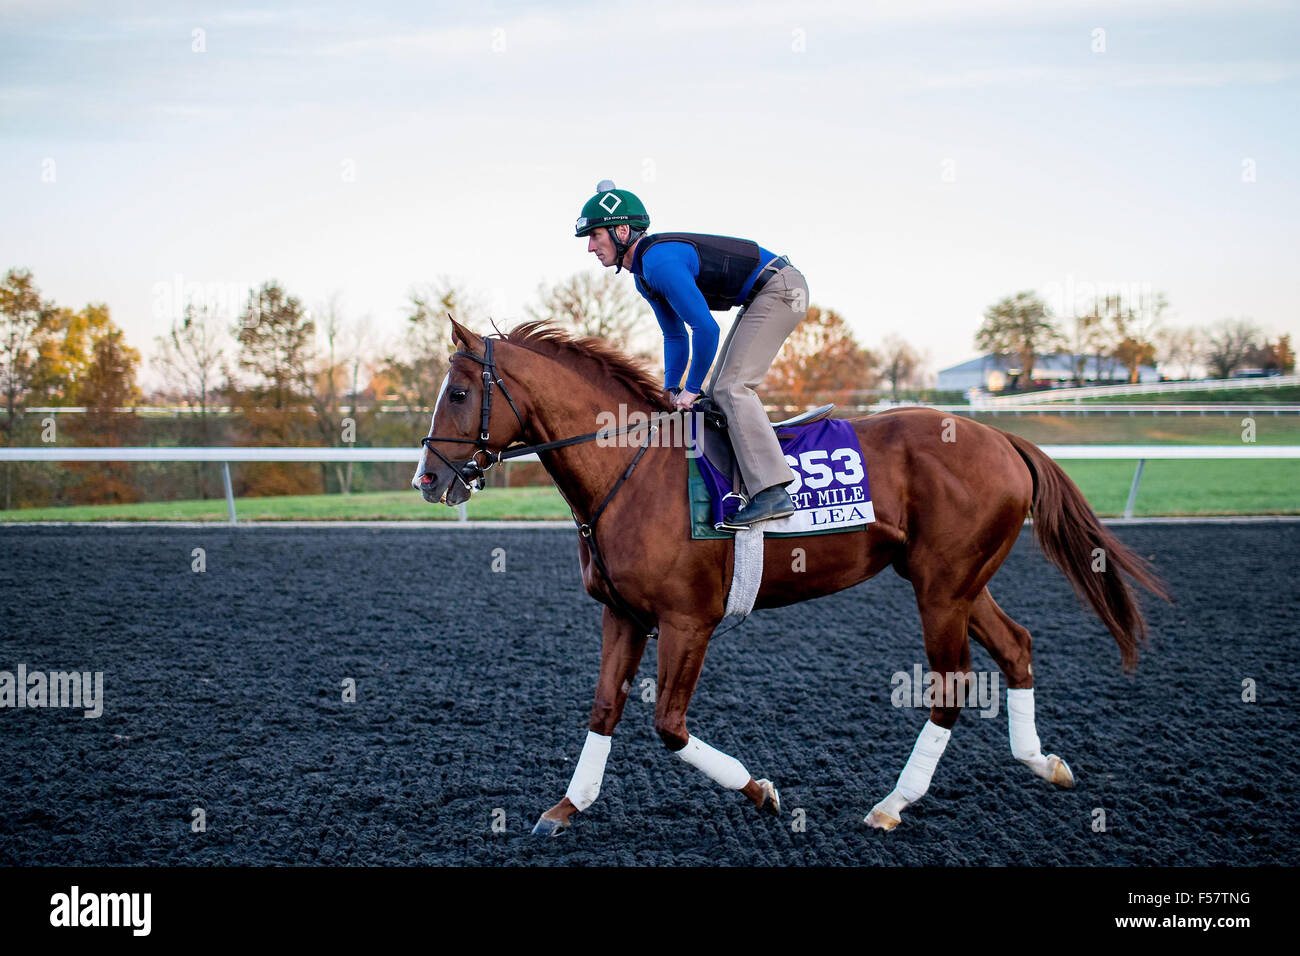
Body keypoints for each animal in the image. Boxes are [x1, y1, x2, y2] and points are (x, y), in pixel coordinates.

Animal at [413, 317, 1170, 832]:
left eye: (459, 393)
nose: (428, 479)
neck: (629, 467)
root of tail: (1004, 437)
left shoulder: (689, 619)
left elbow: (668, 724)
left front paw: (759, 790)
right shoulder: (621, 612)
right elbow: (604, 708)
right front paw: (567, 805)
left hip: (942, 588)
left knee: (950, 685)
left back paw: (893, 803)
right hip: (958, 581)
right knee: (1016, 647)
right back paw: (1042, 762)